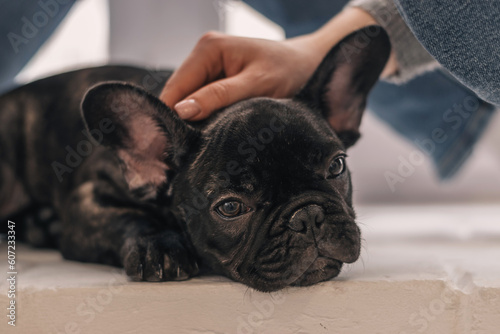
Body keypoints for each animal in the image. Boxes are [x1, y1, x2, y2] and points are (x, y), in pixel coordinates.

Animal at [0, 26, 390, 292]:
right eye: (230, 207)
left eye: (336, 166)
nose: (307, 216)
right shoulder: (87, 199)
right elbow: (125, 217)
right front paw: (158, 246)